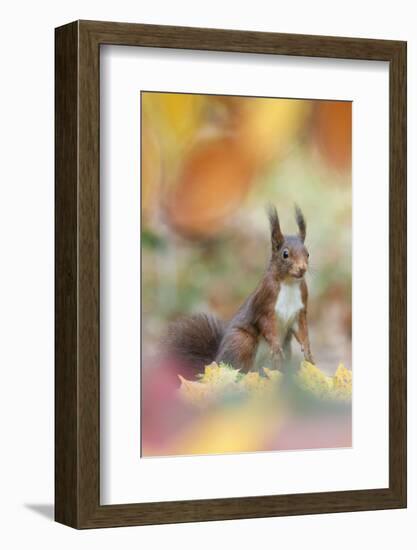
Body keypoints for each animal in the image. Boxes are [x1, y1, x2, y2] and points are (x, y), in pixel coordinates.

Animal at [166, 207, 312, 376]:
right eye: (285, 254)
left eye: (307, 254)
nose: (302, 268)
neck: (289, 283)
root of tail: (215, 363)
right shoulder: (265, 301)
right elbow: (266, 324)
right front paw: (276, 347)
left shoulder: (300, 308)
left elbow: (302, 330)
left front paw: (308, 351)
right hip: (242, 341)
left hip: (284, 350)